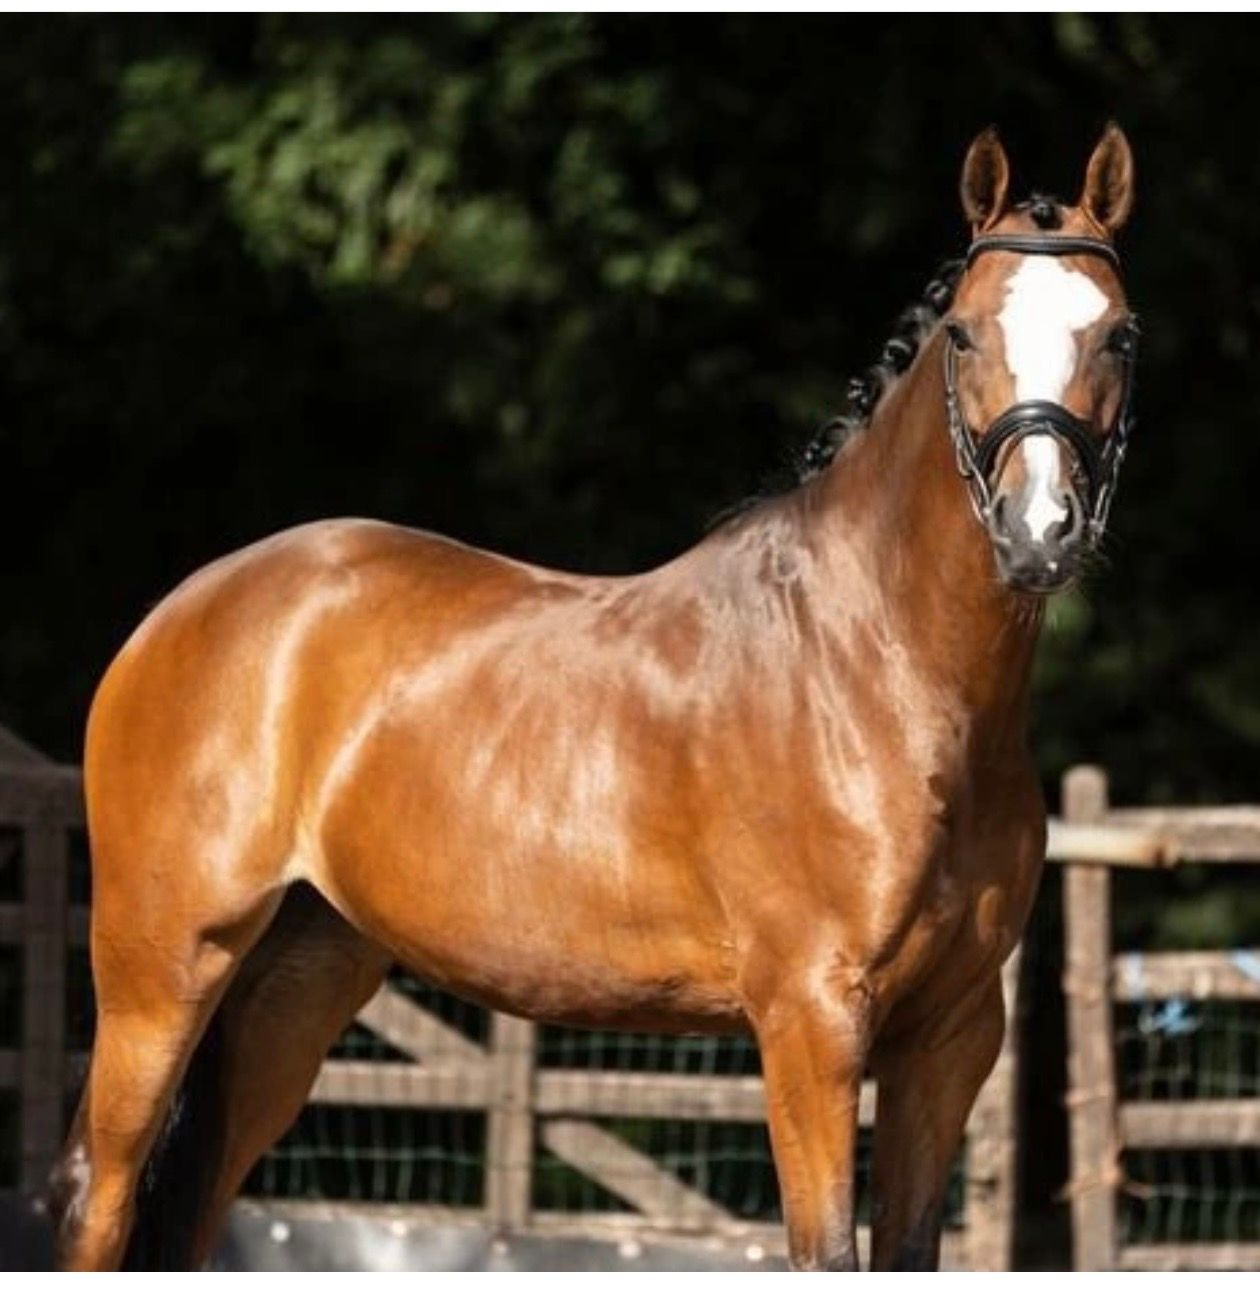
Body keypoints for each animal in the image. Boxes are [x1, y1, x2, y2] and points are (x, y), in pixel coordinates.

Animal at [49, 123, 1137, 1271]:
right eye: (966, 335)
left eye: (1119, 335)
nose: (1039, 532)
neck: (882, 673)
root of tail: (182, 610)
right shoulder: (811, 1019)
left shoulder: (950, 1037)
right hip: (162, 967)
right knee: (100, 1197)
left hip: (296, 982)